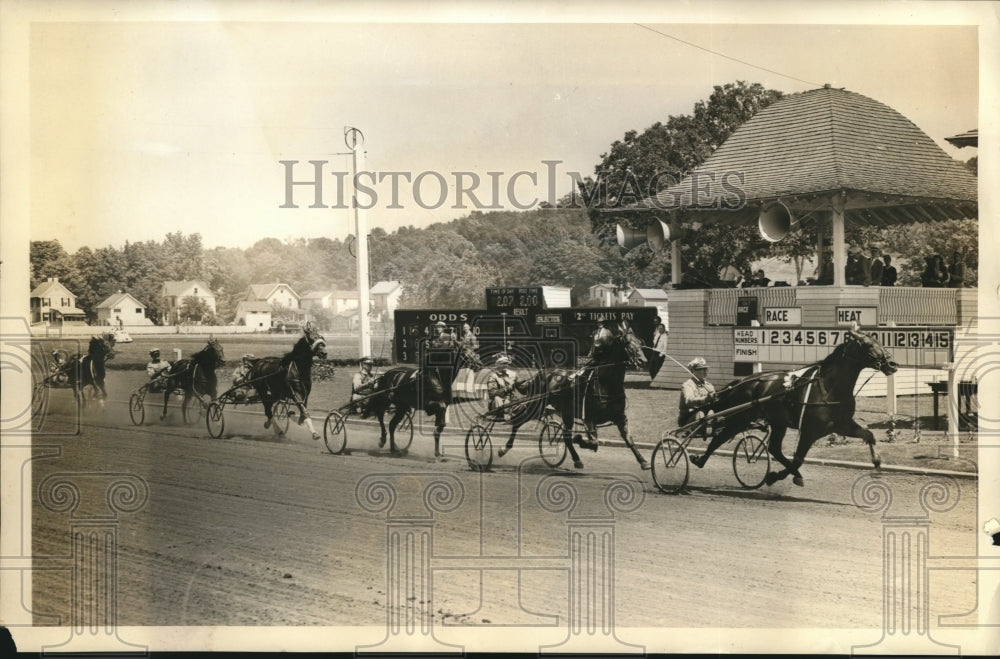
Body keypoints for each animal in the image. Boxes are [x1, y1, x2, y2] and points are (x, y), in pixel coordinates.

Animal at [492, 324, 648, 470]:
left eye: (640, 342)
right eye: (627, 343)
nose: (643, 360)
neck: (605, 384)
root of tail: (542, 374)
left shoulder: (620, 417)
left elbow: (629, 439)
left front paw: (643, 461)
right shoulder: (589, 418)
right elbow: (593, 442)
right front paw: (580, 439)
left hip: (565, 412)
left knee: (566, 436)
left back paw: (577, 459)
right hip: (537, 405)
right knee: (518, 422)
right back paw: (503, 449)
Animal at [688, 328, 900, 488]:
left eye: (878, 341)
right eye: (869, 345)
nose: (892, 363)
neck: (829, 388)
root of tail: (742, 382)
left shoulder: (842, 425)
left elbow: (869, 435)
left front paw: (877, 463)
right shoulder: (809, 430)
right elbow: (798, 458)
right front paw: (778, 476)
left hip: (776, 422)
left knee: (774, 448)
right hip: (740, 419)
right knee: (718, 439)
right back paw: (699, 460)